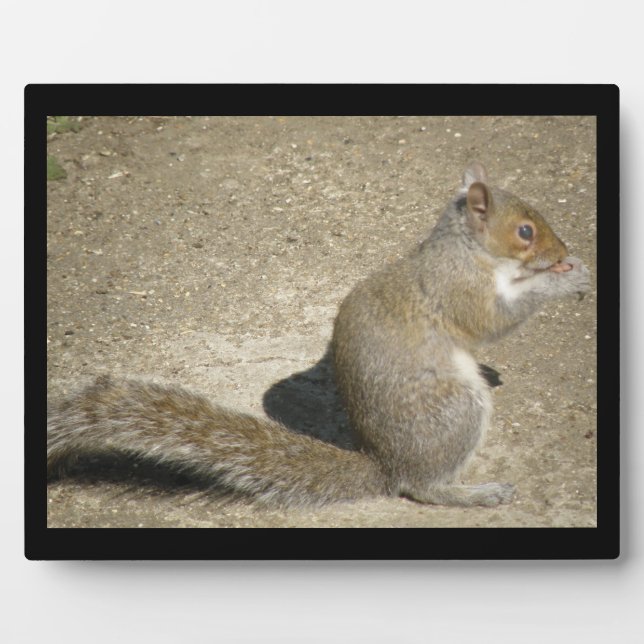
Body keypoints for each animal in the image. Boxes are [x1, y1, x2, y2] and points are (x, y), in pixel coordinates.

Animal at [47, 162, 591, 508]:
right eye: (525, 232)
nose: (563, 251)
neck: (466, 250)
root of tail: (387, 465)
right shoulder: (458, 290)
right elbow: (493, 322)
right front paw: (565, 279)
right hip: (455, 410)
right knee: (423, 488)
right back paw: (474, 493)